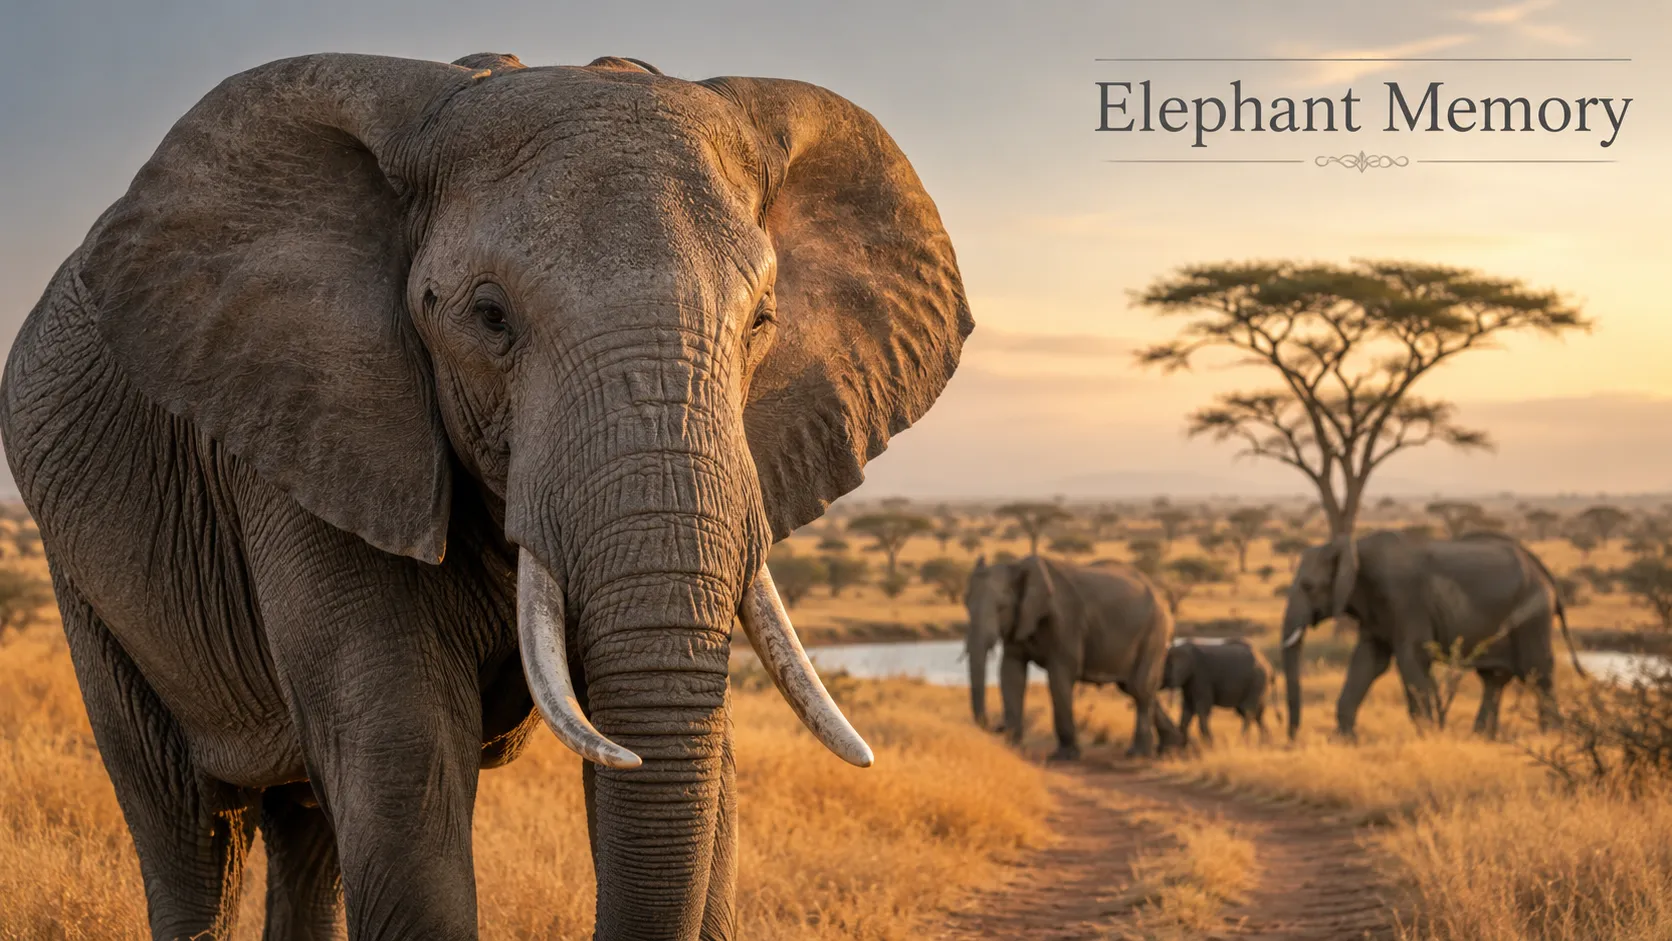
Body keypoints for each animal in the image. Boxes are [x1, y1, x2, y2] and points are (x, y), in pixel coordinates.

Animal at [0, 51, 971, 941]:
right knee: (190, 827)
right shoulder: (316, 428)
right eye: (490, 316)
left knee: (305, 831)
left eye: (763, 320)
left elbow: (703, 755)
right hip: (84, 576)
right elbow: (403, 765)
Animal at [964, 556, 1179, 760]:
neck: (1018, 567)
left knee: (1139, 689)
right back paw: (1171, 748)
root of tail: (1161, 596)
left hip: (1154, 631)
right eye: (966, 605)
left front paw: (1064, 756)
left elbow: (1059, 676)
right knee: (1132, 687)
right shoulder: (1020, 621)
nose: (997, 727)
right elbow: (1011, 673)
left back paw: (1140, 754)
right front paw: (1013, 747)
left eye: (1001, 607)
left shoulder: (1067, 622)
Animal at [1280, 530, 1585, 741]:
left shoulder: (1406, 600)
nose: (1292, 738)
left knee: (1537, 673)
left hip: (1533, 615)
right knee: (1494, 679)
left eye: (1307, 586)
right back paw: (1482, 738)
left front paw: (1428, 736)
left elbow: (1411, 659)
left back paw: (1551, 736)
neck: (1354, 548)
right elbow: (1368, 661)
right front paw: (1345, 742)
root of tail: (1545, 572)